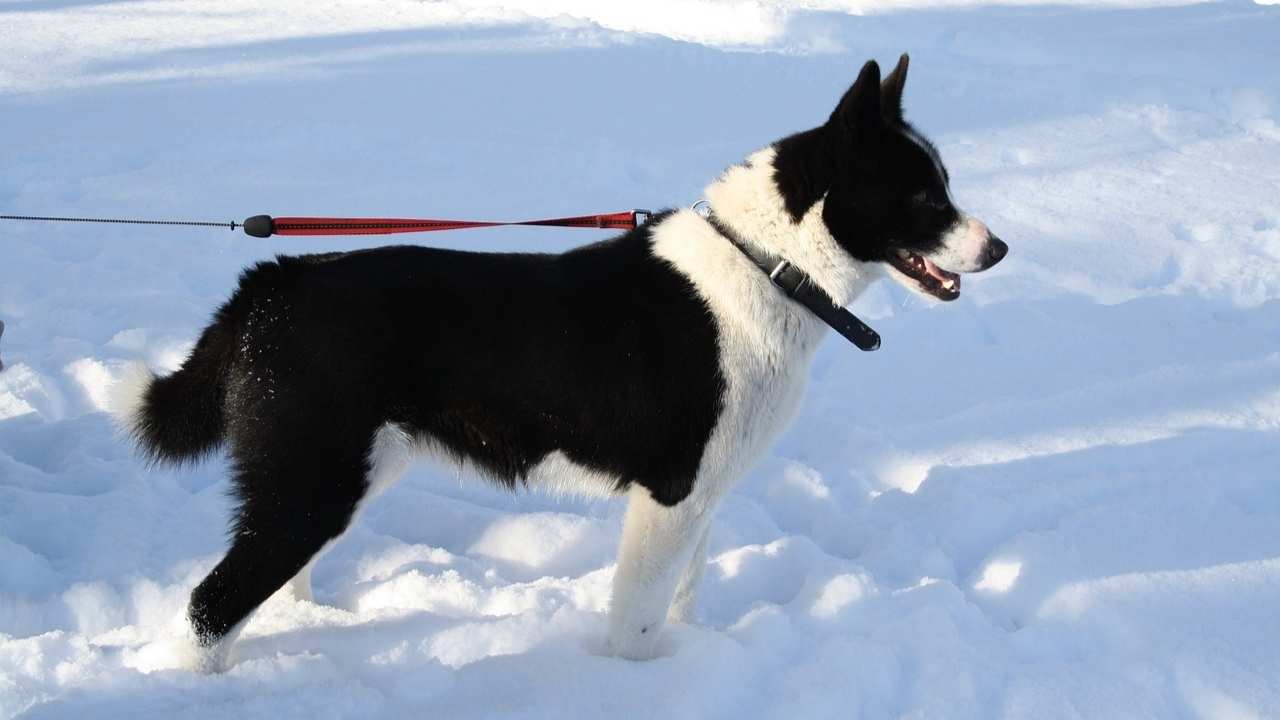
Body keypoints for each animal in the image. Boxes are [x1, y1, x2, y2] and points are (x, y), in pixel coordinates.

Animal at [115, 54, 1003, 666]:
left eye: (945, 185)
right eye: (924, 196)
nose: (997, 248)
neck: (764, 264)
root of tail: (274, 281)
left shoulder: (703, 499)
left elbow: (680, 602)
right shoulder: (669, 498)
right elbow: (636, 625)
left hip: (332, 475)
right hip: (313, 482)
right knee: (210, 606)